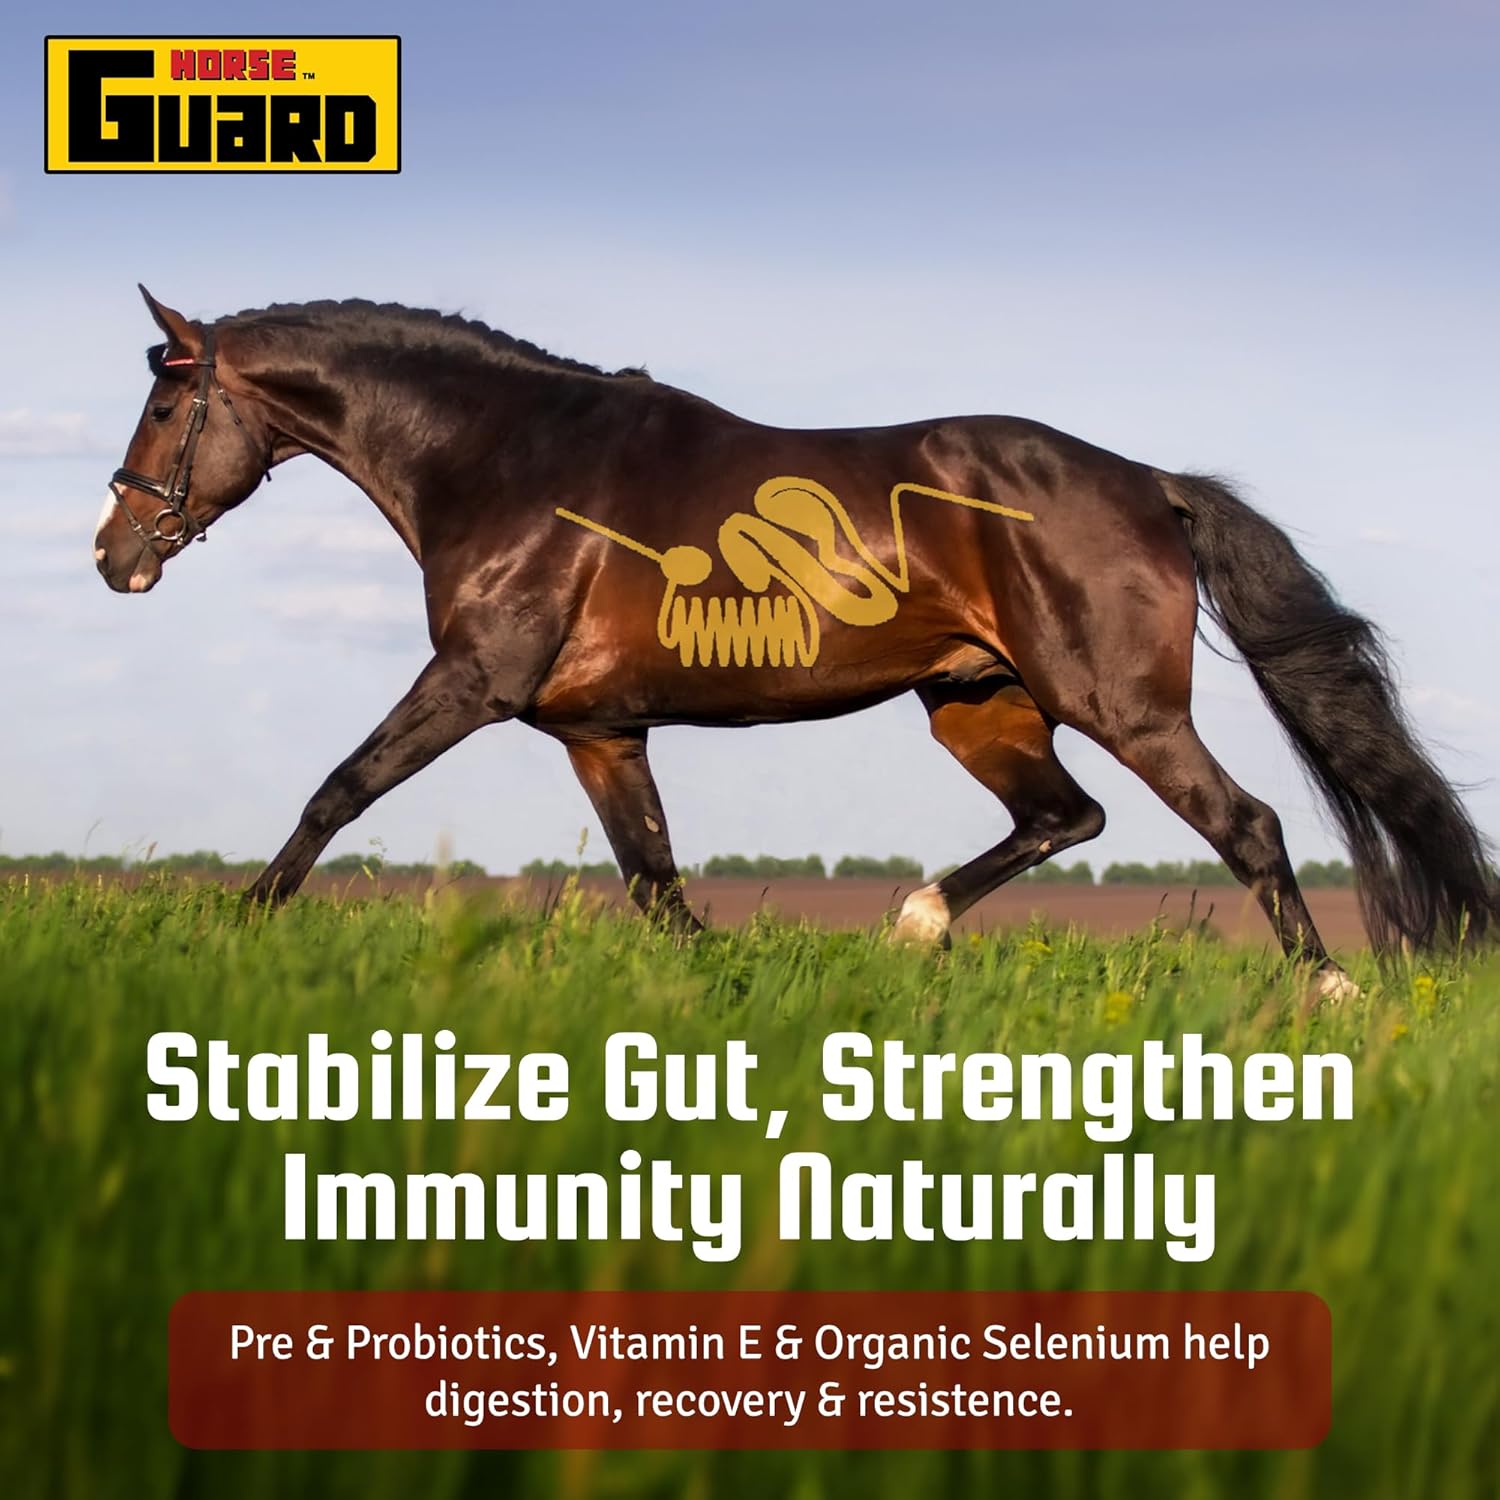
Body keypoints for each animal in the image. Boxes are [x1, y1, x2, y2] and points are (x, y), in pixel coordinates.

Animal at [95, 285, 1494, 990]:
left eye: (166, 402)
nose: (116, 555)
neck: (507, 461)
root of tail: (1153, 483)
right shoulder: (600, 732)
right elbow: (657, 883)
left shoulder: (472, 681)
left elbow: (339, 789)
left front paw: (235, 930)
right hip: (979, 704)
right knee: (1065, 817)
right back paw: (917, 925)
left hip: (1123, 705)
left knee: (1244, 825)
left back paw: (1329, 993)